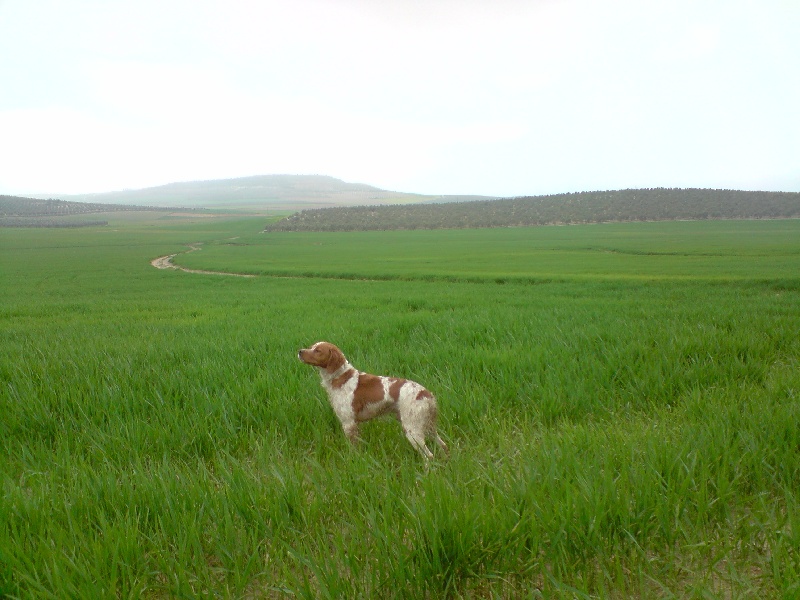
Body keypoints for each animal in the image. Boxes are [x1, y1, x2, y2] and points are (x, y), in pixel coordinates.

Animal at [298, 341, 448, 459]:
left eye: (317, 350)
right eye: (311, 347)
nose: (300, 351)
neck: (341, 377)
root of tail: (426, 393)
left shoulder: (348, 423)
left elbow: (353, 448)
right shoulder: (355, 424)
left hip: (413, 430)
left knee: (429, 456)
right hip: (428, 427)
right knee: (443, 445)